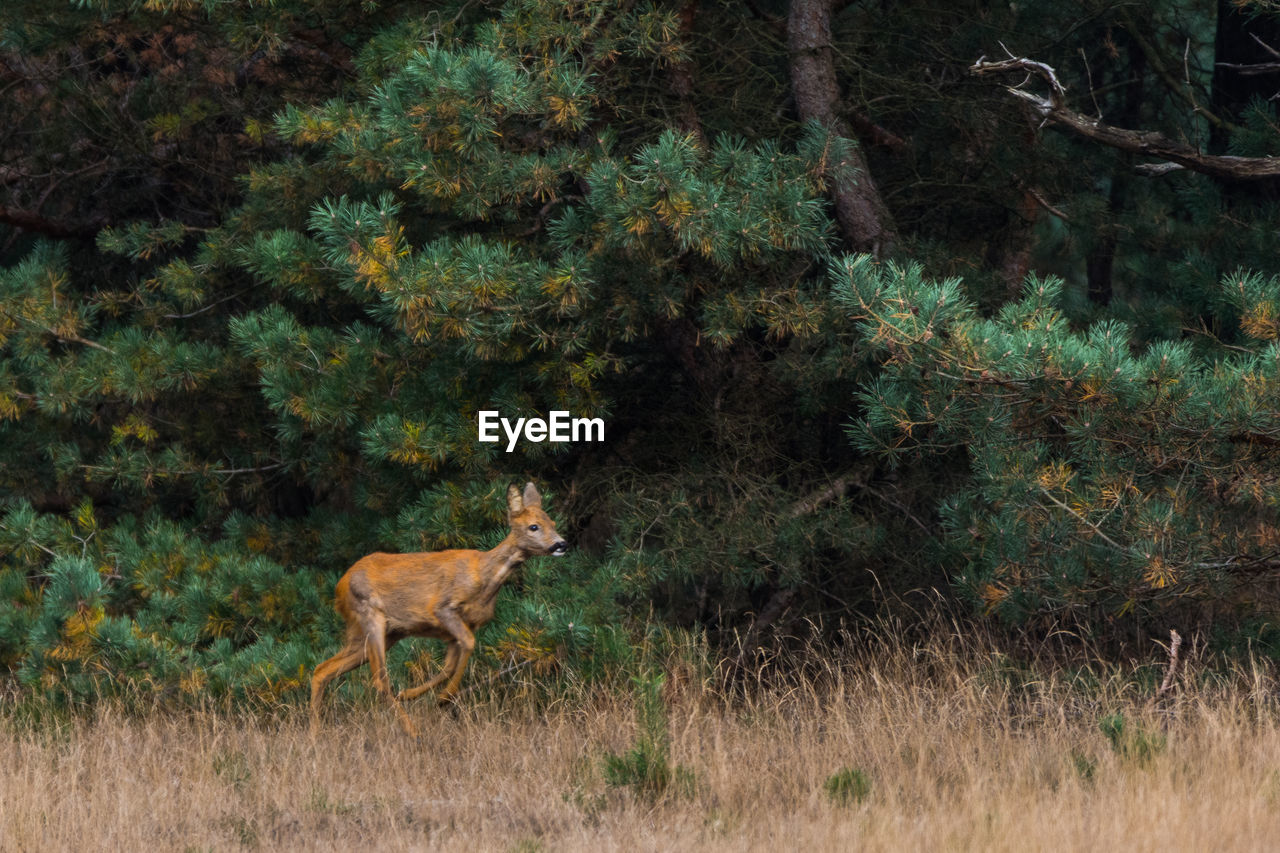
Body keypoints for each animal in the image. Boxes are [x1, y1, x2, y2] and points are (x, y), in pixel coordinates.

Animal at [309, 481, 565, 732]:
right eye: (533, 526)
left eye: (552, 522)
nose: (561, 543)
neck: (484, 578)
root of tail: (340, 587)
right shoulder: (444, 608)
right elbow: (468, 645)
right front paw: (442, 697)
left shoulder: (457, 630)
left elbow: (449, 667)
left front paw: (416, 695)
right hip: (369, 614)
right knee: (379, 680)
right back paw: (412, 732)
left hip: (386, 632)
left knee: (323, 670)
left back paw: (316, 735)